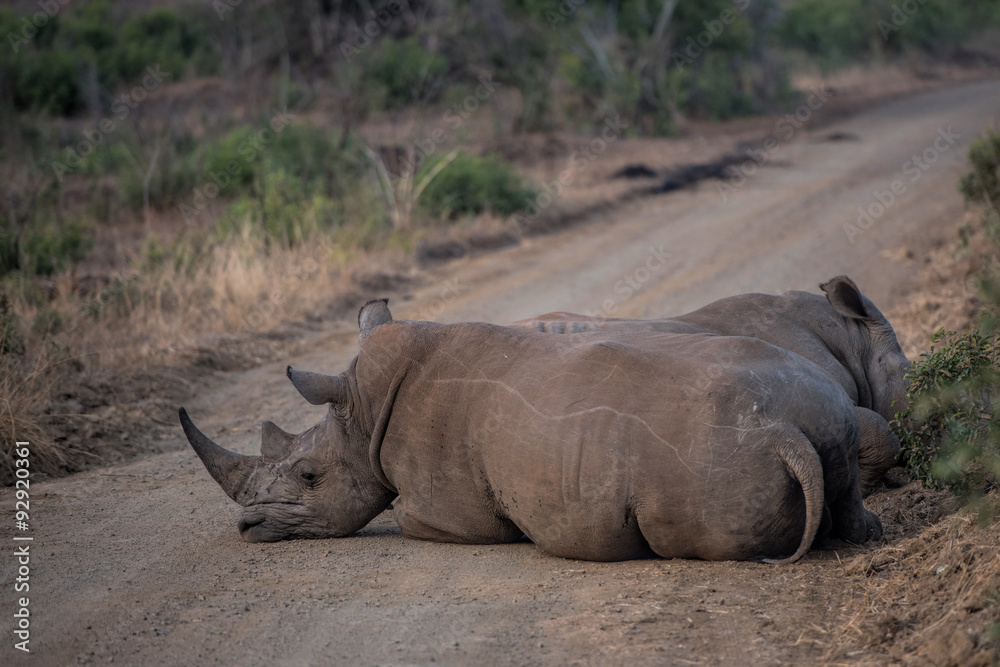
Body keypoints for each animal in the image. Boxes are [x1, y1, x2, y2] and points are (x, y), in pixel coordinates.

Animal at [182, 298, 884, 564]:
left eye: (308, 476)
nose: (246, 529)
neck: (364, 409)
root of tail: (782, 433)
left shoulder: (449, 512)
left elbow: (408, 514)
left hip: (709, 460)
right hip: (818, 407)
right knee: (843, 459)